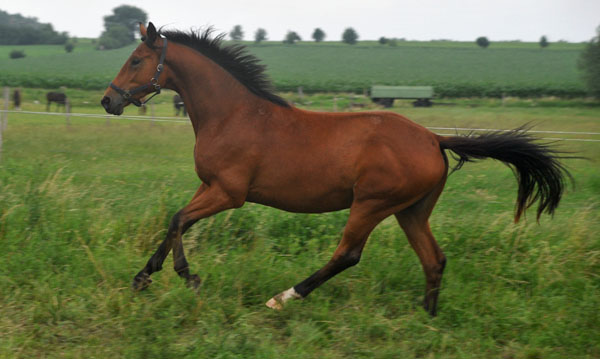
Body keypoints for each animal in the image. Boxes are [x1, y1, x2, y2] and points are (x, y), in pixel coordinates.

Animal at [101, 22, 568, 316]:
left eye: (137, 60)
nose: (109, 100)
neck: (233, 114)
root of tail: (434, 139)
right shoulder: (209, 186)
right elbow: (175, 220)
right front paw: (143, 278)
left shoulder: (228, 193)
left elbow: (180, 220)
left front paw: (188, 277)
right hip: (411, 211)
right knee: (433, 260)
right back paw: (427, 318)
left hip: (372, 204)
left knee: (348, 254)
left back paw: (284, 298)